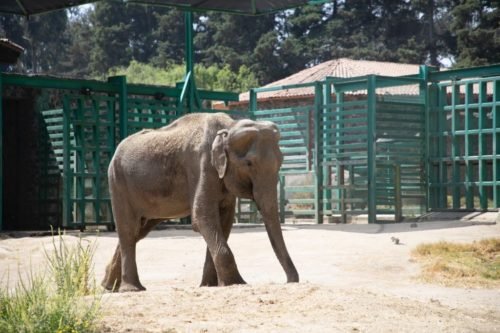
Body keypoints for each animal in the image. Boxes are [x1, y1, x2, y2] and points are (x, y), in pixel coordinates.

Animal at [99, 111, 298, 290]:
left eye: (281, 162)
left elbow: (223, 222)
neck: (229, 127)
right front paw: (237, 283)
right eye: (249, 164)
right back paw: (132, 289)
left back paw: (109, 286)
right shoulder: (202, 165)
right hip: (118, 182)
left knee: (138, 231)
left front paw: (209, 285)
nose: (290, 281)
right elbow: (203, 216)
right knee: (128, 229)